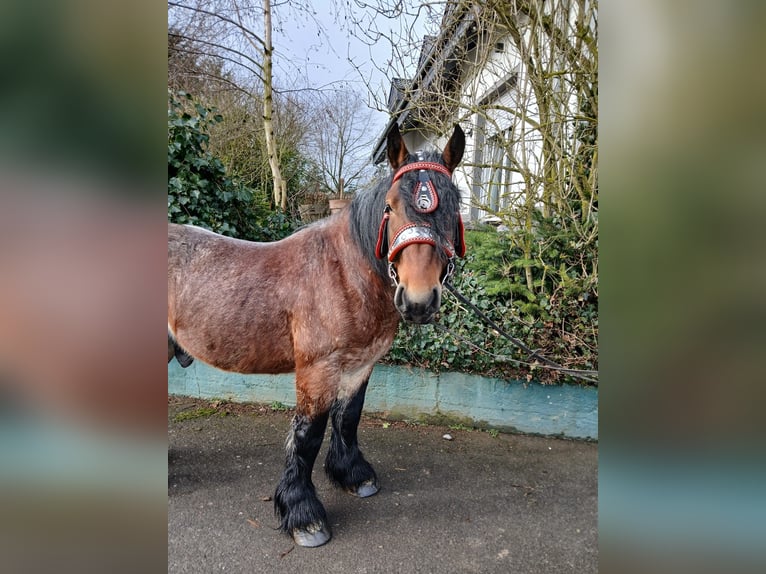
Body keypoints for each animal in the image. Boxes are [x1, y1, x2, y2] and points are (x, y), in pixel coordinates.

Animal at [167, 123, 466, 547]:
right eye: (390, 207)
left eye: (454, 206)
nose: (419, 300)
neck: (343, 272)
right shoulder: (317, 370)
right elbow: (308, 435)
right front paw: (303, 516)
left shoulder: (359, 366)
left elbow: (348, 418)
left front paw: (353, 476)